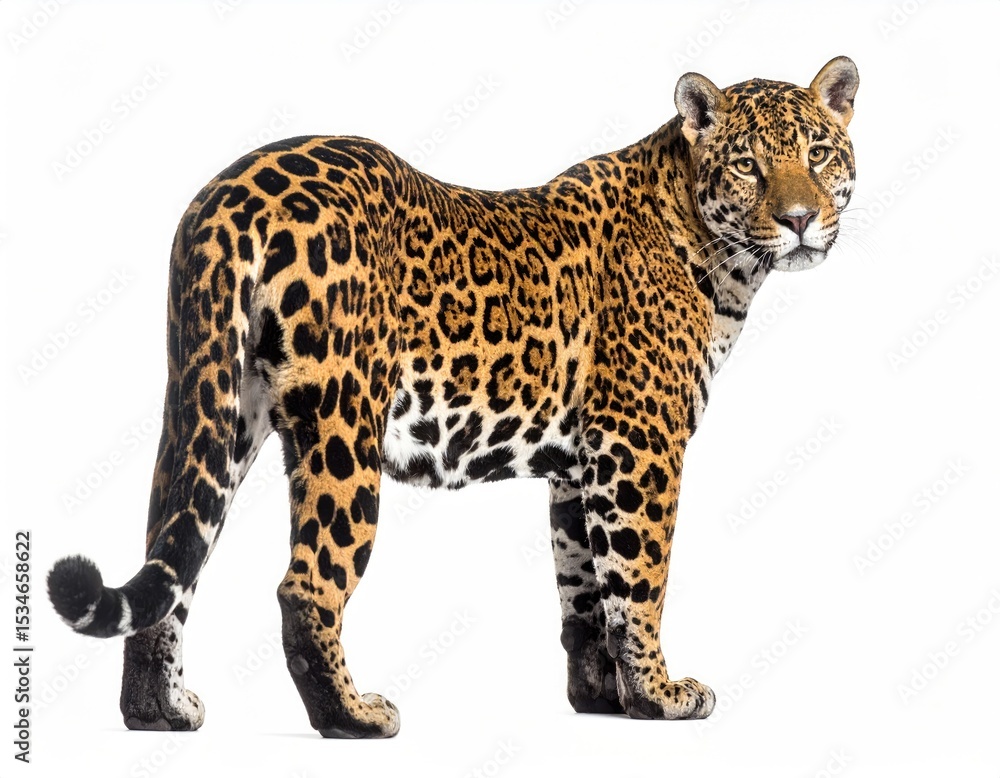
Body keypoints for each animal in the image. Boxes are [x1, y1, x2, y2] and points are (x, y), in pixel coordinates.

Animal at [48, 56, 859, 738]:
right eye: (749, 166)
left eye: (819, 154)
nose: (799, 220)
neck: (719, 255)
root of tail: (232, 195)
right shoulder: (638, 444)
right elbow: (639, 580)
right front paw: (661, 697)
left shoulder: (579, 464)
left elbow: (584, 592)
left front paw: (604, 698)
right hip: (343, 422)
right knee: (304, 586)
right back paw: (353, 717)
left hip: (211, 403)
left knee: (170, 553)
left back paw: (157, 710)